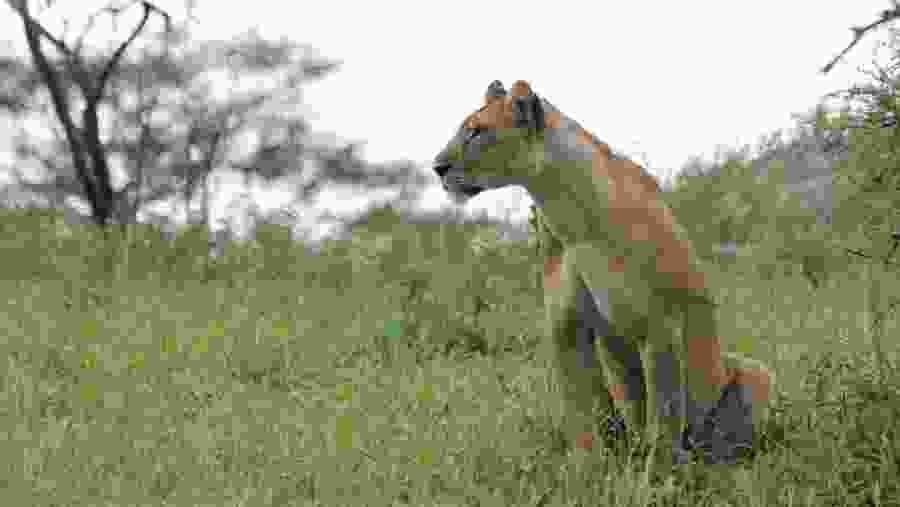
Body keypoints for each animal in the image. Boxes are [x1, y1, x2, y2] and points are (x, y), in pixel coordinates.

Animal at [432, 80, 776, 466]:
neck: (571, 215)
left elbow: (664, 410)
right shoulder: (566, 326)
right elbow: (583, 409)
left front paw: (660, 471)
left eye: (478, 131)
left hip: (755, 372)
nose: (437, 167)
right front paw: (587, 467)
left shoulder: (661, 322)